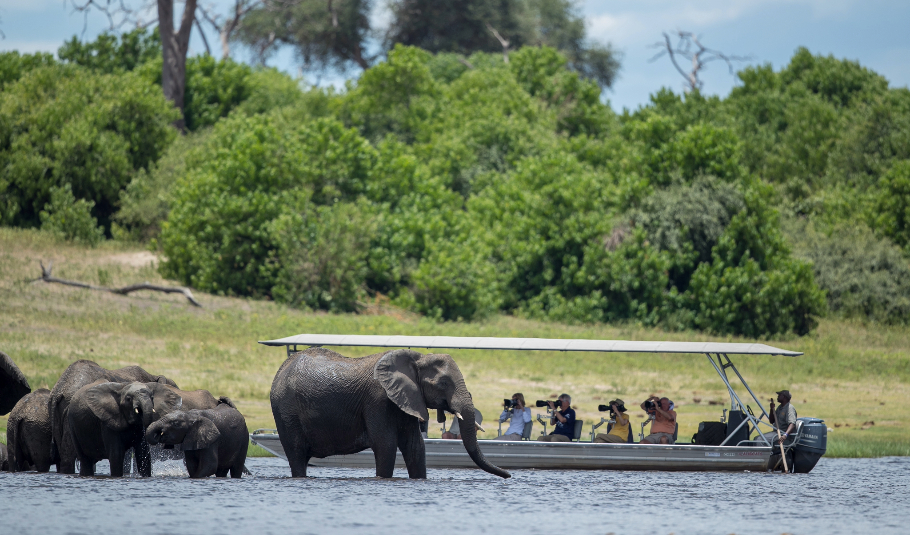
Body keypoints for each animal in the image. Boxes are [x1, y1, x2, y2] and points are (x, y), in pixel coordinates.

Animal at [270, 348, 512, 482]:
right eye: (443, 383)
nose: (509, 476)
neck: (417, 359)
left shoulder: (407, 399)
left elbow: (415, 447)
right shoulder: (377, 400)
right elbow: (385, 445)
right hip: (286, 411)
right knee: (297, 454)